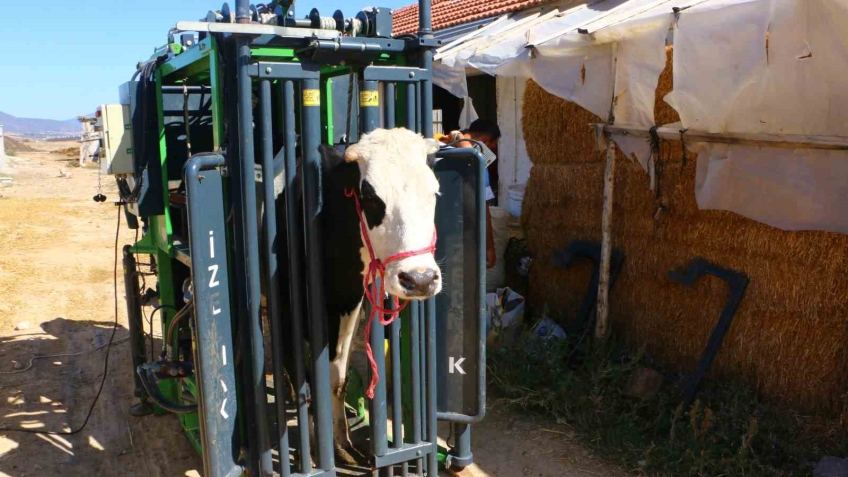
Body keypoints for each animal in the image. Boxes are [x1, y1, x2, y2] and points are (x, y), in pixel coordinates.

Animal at [274, 128, 444, 462]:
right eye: (370, 197)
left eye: (433, 193)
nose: (419, 279)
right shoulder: (287, 310)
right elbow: (303, 380)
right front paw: (312, 454)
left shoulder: (348, 303)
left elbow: (337, 378)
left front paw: (342, 445)